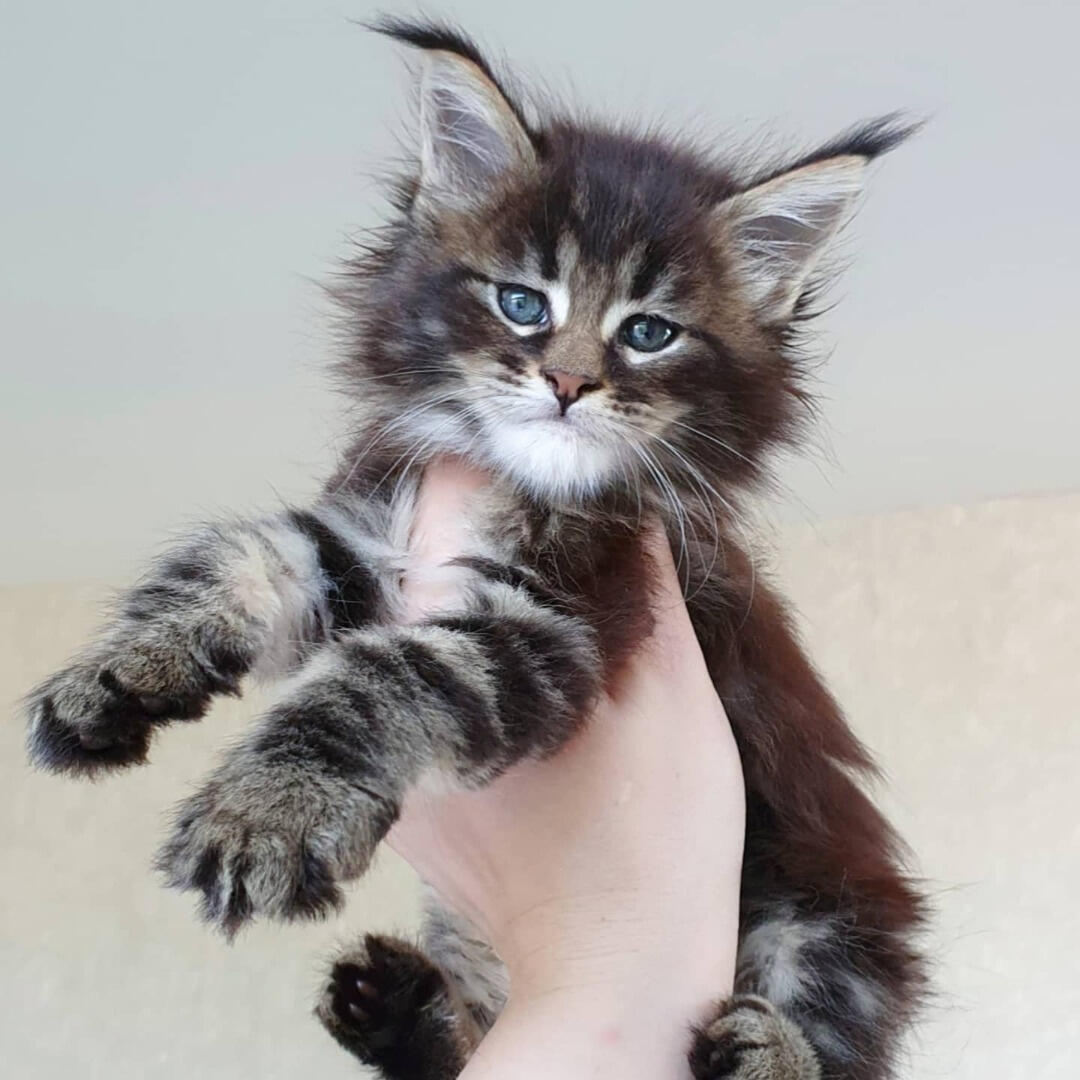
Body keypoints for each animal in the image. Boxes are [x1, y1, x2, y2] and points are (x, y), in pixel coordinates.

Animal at [21, 16, 924, 1080]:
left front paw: (267, 813)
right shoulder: (365, 537)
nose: (569, 385)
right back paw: (396, 1006)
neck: (512, 477)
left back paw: (764, 1049)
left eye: (649, 333)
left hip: (830, 905)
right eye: (523, 303)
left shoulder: (559, 617)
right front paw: (115, 677)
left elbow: (381, 678)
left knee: (839, 1024)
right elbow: (235, 559)